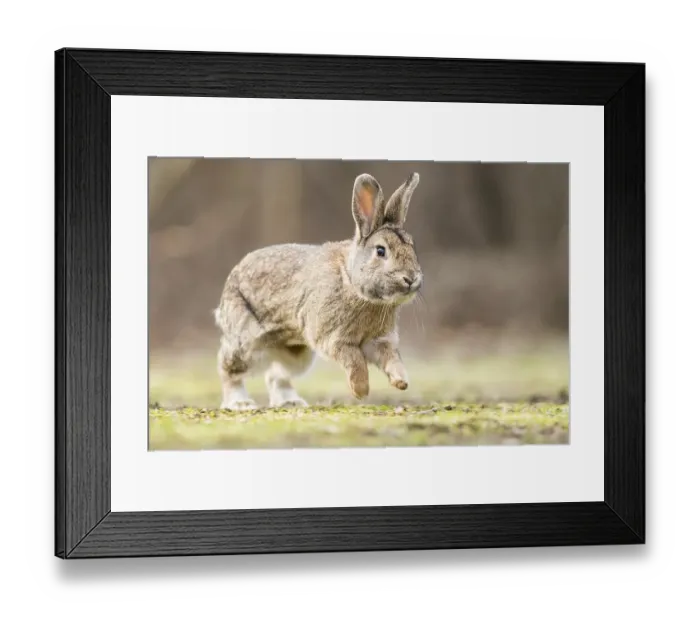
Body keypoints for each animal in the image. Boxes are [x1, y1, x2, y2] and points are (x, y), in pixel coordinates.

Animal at [214, 172, 423, 410]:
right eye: (380, 251)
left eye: (412, 247)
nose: (411, 279)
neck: (352, 283)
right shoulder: (333, 338)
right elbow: (355, 360)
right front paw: (361, 390)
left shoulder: (379, 341)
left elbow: (392, 359)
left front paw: (401, 382)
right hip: (247, 340)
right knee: (228, 369)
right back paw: (240, 403)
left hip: (296, 355)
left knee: (276, 375)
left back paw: (291, 402)